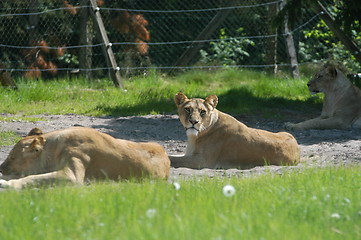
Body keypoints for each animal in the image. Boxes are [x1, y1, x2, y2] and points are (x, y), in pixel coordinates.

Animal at [170, 92, 300, 169]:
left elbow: (173, 159)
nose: (194, 122)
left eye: (203, 112)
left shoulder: (203, 161)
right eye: (187, 109)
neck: (195, 136)